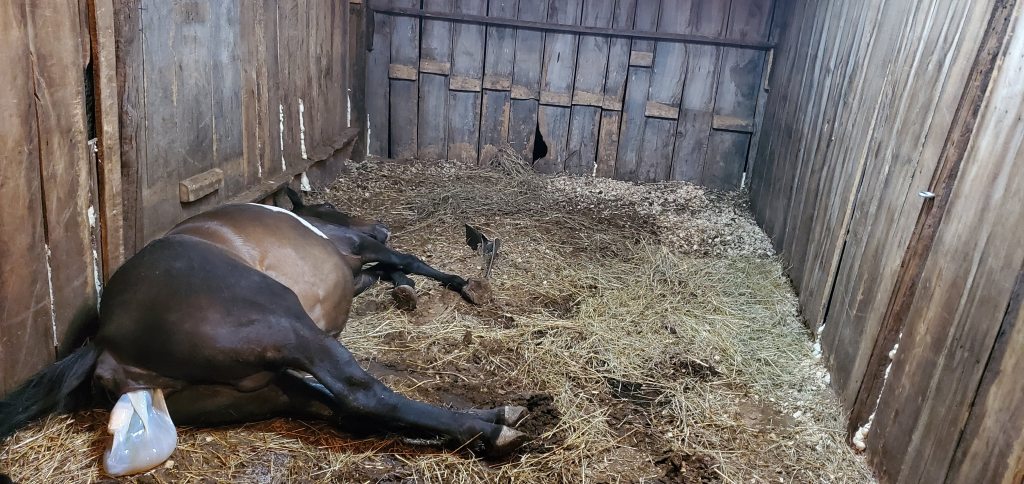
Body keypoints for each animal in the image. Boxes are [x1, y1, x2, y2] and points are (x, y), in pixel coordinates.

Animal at [0, 194, 527, 476]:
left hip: (258, 388)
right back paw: (494, 429)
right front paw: (462, 285)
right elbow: (407, 260)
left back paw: (494, 417)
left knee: (344, 410)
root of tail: (105, 344)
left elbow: (388, 273)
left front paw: (407, 292)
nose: (382, 225)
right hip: (288, 327)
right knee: (362, 396)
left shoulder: (356, 270)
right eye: (329, 204)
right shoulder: (358, 248)